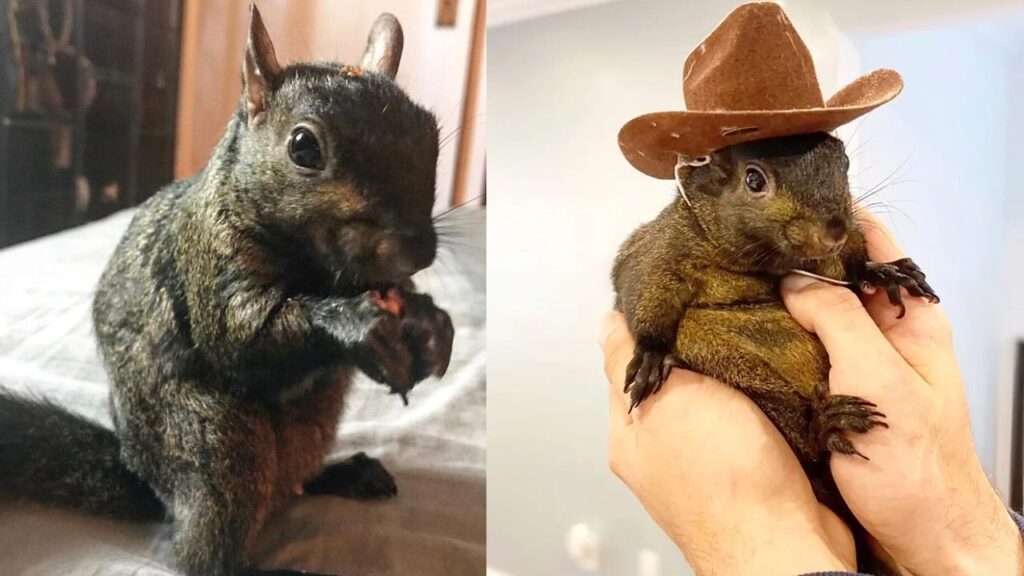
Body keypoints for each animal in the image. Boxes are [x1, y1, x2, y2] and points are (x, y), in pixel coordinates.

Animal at [0, 6, 454, 576]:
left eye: (431, 132)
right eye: (303, 147)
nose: (410, 252)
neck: (319, 270)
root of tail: (152, 484)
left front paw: (430, 323)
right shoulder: (207, 257)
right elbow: (238, 342)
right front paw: (354, 322)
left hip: (312, 423)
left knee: (292, 483)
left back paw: (342, 474)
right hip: (215, 439)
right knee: (205, 552)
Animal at [612, 131, 939, 574]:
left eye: (844, 162)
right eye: (754, 180)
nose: (833, 231)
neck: (768, 262)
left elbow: (854, 263)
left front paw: (884, 272)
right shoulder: (659, 250)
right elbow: (643, 288)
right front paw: (650, 353)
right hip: (732, 365)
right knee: (805, 442)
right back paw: (824, 426)